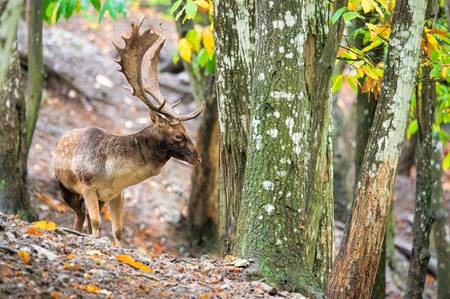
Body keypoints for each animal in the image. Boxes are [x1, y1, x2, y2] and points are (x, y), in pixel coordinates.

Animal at [53, 21, 206, 246]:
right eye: (179, 136)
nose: (198, 158)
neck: (112, 175)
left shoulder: (118, 194)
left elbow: (118, 231)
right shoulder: (88, 186)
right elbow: (97, 223)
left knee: (83, 217)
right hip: (65, 186)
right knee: (80, 215)